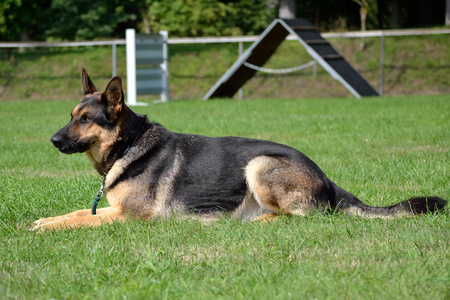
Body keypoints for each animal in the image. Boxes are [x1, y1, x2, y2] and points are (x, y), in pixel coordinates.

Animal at [32, 68, 446, 232]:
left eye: (86, 119)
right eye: (71, 116)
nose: (52, 140)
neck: (130, 145)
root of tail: (327, 178)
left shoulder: (131, 217)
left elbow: (82, 220)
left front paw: (49, 227)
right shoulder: (114, 210)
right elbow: (75, 213)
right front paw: (44, 221)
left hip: (259, 164)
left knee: (302, 217)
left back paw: (251, 223)